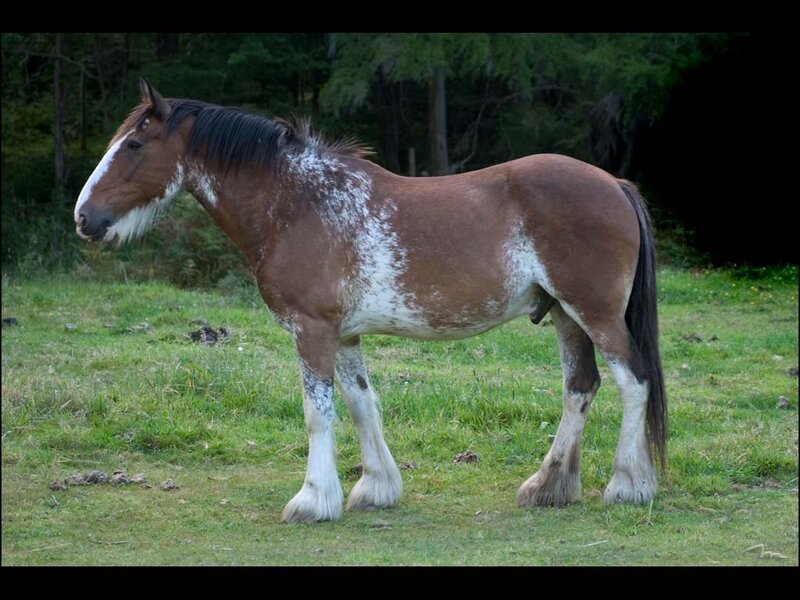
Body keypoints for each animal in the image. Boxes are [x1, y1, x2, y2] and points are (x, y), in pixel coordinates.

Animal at [74, 79, 667, 523]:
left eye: (133, 145)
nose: (84, 217)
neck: (299, 204)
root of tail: (614, 184)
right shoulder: (345, 334)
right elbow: (361, 403)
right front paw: (376, 488)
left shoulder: (312, 329)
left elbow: (318, 413)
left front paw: (313, 500)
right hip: (566, 316)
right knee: (580, 388)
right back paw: (548, 487)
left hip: (595, 314)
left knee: (632, 381)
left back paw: (627, 486)